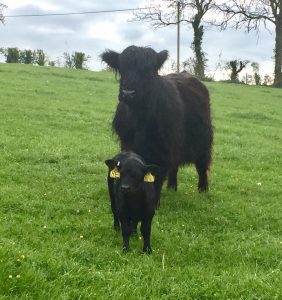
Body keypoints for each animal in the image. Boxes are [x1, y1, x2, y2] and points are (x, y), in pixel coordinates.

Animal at [102, 45, 213, 204]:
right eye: (122, 68)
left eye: (148, 70)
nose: (128, 93)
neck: (140, 118)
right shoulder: (127, 143)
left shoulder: (163, 149)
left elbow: (157, 177)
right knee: (174, 166)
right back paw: (172, 187)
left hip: (202, 139)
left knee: (202, 164)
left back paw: (202, 190)